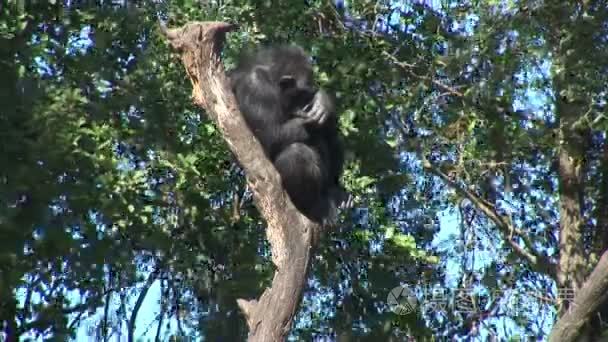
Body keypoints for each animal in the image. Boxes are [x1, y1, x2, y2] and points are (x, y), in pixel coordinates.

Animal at [228, 44, 344, 224]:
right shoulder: (255, 86)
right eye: (302, 94)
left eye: (308, 94)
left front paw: (323, 102)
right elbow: (271, 135)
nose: (311, 97)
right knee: (297, 154)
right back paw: (316, 208)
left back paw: (336, 192)